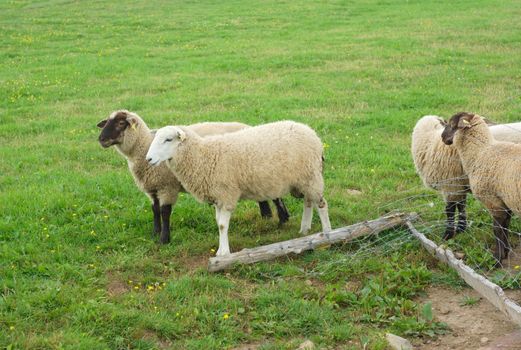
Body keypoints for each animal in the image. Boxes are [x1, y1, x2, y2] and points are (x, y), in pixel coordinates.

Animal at [96, 110, 288, 245]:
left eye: (121, 122)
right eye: (107, 122)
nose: (101, 139)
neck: (143, 148)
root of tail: (248, 127)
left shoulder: (167, 187)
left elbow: (165, 212)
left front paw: (164, 239)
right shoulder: (152, 188)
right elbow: (155, 210)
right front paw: (155, 233)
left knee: (275, 194)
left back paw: (283, 219)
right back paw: (266, 216)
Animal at [145, 121, 334, 256]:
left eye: (168, 139)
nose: (148, 159)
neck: (204, 156)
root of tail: (312, 133)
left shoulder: (226, 194)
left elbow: (222, 225)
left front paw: (223, 253)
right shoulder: (218, 197)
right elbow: (219, 223)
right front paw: (221, 250)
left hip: (311, 176)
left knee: (321, 204)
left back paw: (327, 233)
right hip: (304, 179)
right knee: (308, 202)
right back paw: (304, 229)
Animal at [440, 112, 521, 266]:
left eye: (452, 125)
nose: (442, 137)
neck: (480, 152)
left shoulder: (493, 201)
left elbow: (497, 230)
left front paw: (497, 259)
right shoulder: (503, 201)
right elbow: (506, 227)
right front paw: (506, 252)